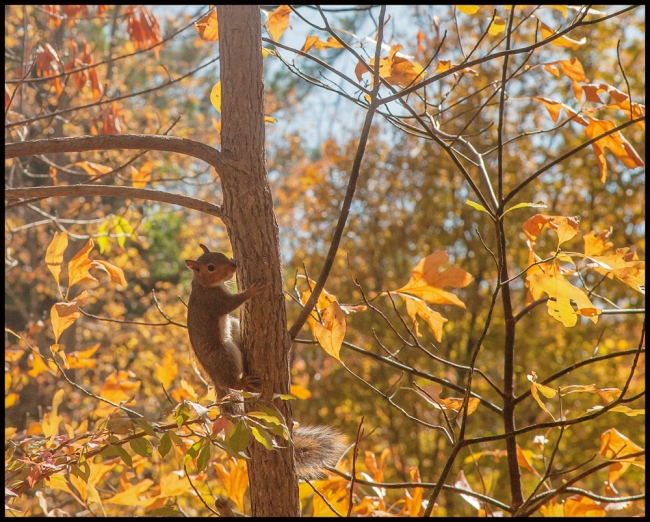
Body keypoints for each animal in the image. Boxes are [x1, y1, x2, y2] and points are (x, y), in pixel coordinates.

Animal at [185, 244, 345, 479]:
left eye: (222, 255)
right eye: (211, 267)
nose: (233, 265)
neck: (203, 284)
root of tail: (214, 377)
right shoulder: (214, 302)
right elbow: (231, 303)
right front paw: (253, 291)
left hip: (233, 327)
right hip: (224, 354)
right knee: (232, 378)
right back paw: (242, 382)